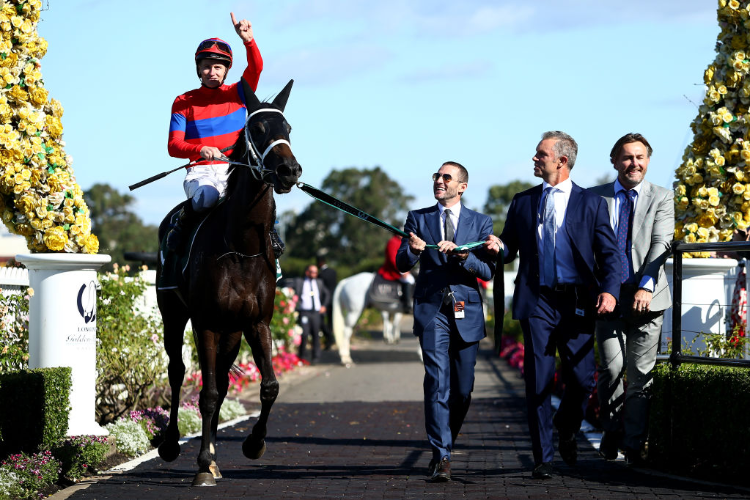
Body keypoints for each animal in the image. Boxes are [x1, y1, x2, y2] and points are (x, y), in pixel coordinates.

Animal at [156, 79, 302, 488]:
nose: (288, 170)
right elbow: (205, 393)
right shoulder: (205, 323)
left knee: (221, 380)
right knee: (178, 373)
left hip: (231, 331)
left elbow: (268, 386)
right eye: (258, 128)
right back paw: (172, 444)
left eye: (288, 128)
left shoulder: (256, 323)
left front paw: (253, 444)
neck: (242, 249)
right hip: (173, 316)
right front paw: (202, 463)